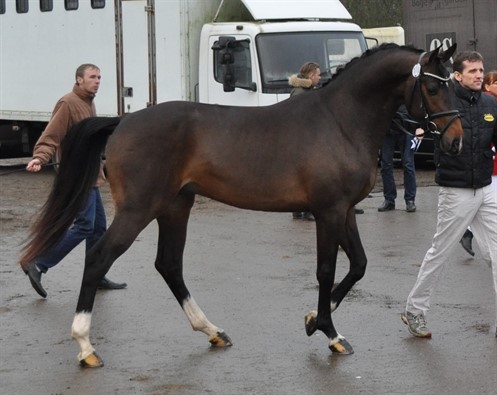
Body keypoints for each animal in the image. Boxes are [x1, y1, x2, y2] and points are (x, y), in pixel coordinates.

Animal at [19, 43, 462, 368]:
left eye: (454, 83)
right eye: (434, 87)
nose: (455, 140)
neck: (340, 120)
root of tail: (122, 122)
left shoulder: (344, 211)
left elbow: (358, 265)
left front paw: (313, 320)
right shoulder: (328, 211)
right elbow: (326, 271)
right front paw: (329, 331)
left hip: (175, 206)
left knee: (169, 265)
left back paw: (212, 331)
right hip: (139, 209)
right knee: (99, 258)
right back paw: (85, 346)